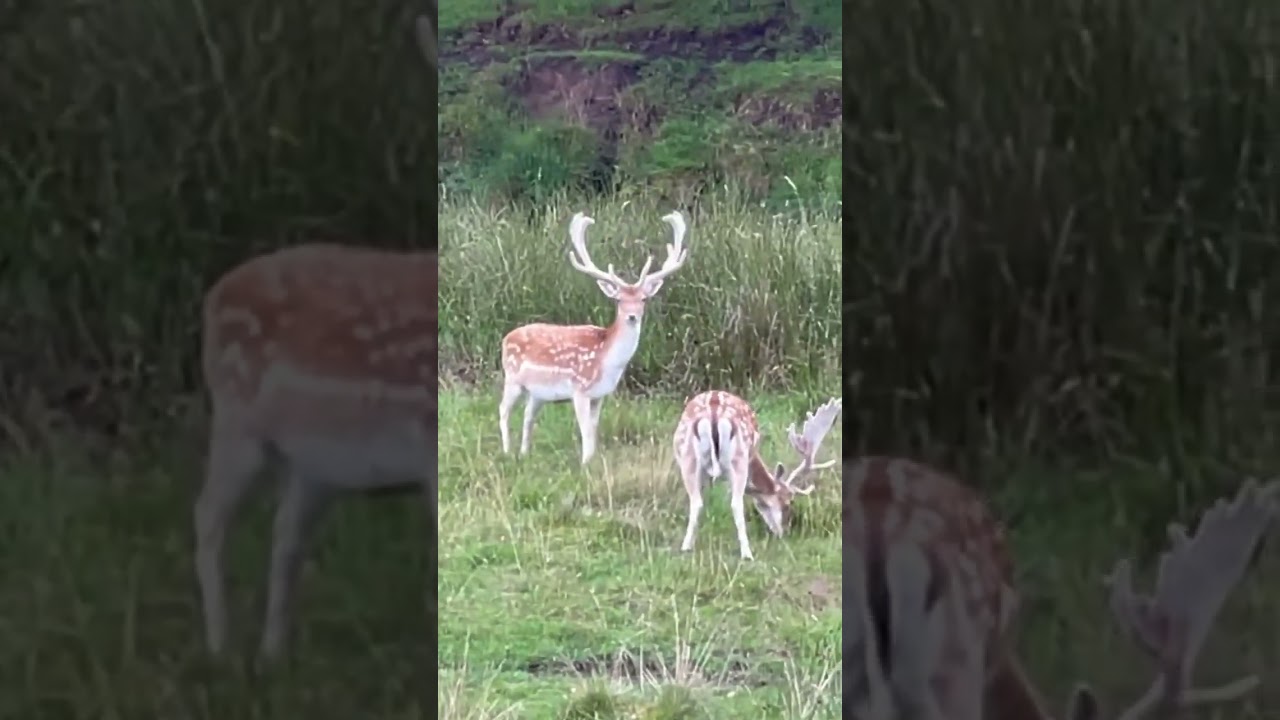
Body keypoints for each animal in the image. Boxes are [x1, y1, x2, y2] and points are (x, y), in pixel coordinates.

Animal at [195, 243, 437, 660]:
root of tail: (213, 298)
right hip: (237, 425)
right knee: (209, 517)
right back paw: (220, 647)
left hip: (310, 467)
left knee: (285, 536)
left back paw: (273, 654)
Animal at [499, 211, 688, 465]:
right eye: (618, 300)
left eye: (643, 299)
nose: (632, 316)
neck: (605, 361)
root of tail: (506, 338)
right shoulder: (579, 389)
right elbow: (585, 429)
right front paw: (585, 463)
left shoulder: (600, 395)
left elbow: (594, 427)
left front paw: (593, 459)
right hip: (512, 378)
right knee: (503, 410)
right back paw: (507, 451)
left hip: (538, 392)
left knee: (528, 414)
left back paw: (524, 452)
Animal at [672, 390, 841, 560]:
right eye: (788, 503)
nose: (784, 532)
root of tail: (714, 413)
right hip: (737, 459)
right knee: (735, 504)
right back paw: (747, 554)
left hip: (689, 459)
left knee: (697, 502)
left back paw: (686, 547)